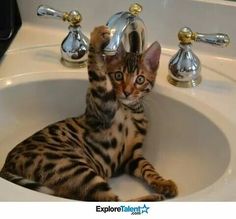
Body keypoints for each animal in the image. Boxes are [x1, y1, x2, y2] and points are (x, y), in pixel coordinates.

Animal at [0, 25, 177, 202]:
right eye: (118, 76)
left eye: (140, 79)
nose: (127, 92)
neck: (128, 110)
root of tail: (7, 164)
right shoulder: (101, 105)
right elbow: (98, 73)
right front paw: (97, 38)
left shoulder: (131, 156)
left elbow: (148, 167)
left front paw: (163, 183)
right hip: (73, 167)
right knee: (108, 199)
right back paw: (153, 197)